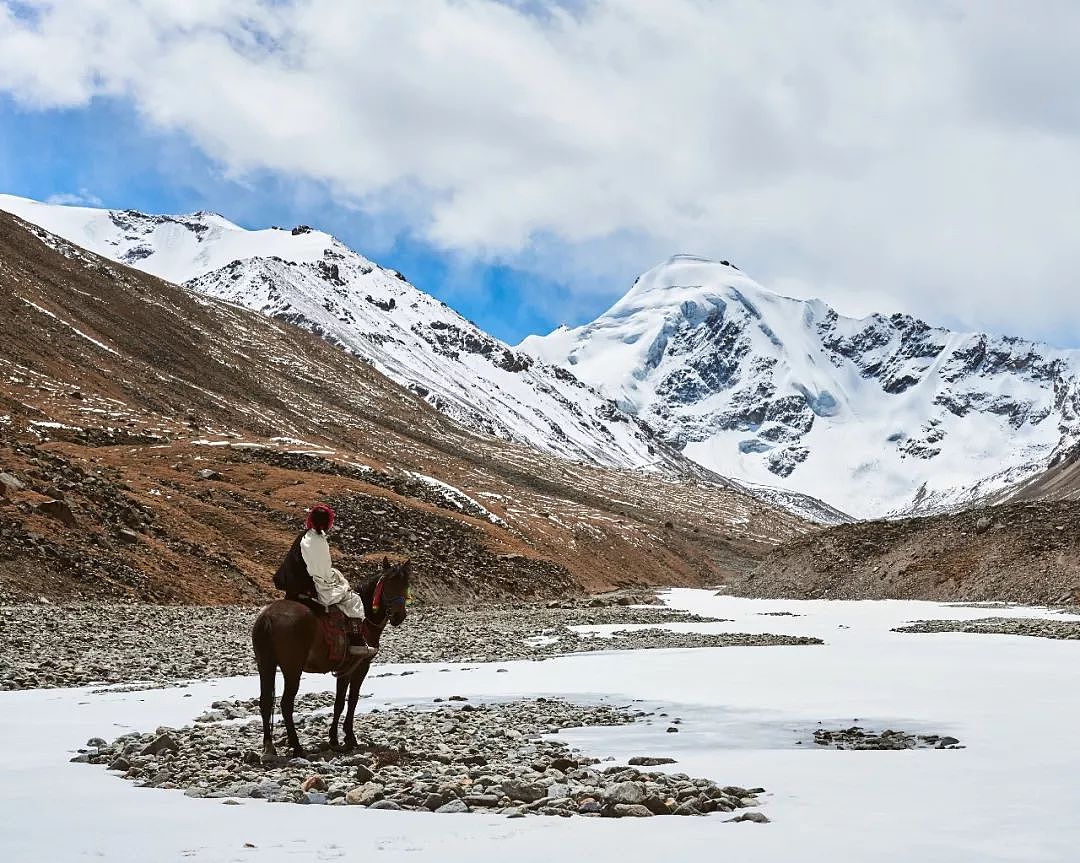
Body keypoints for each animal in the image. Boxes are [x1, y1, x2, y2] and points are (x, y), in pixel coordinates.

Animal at [250, 561, 410, 756]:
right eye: (388, 585)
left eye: (405, 585)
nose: (398, 616)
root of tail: (268, 617)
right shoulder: (358, 667)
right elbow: (349, 701)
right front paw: (347, 738)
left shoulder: (343, 670)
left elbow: (339, 702)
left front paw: (335, 738)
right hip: (292, 669)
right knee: (286, 704)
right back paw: (297, 747)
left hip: (265, 664)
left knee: (265, 701)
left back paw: (269, 745)